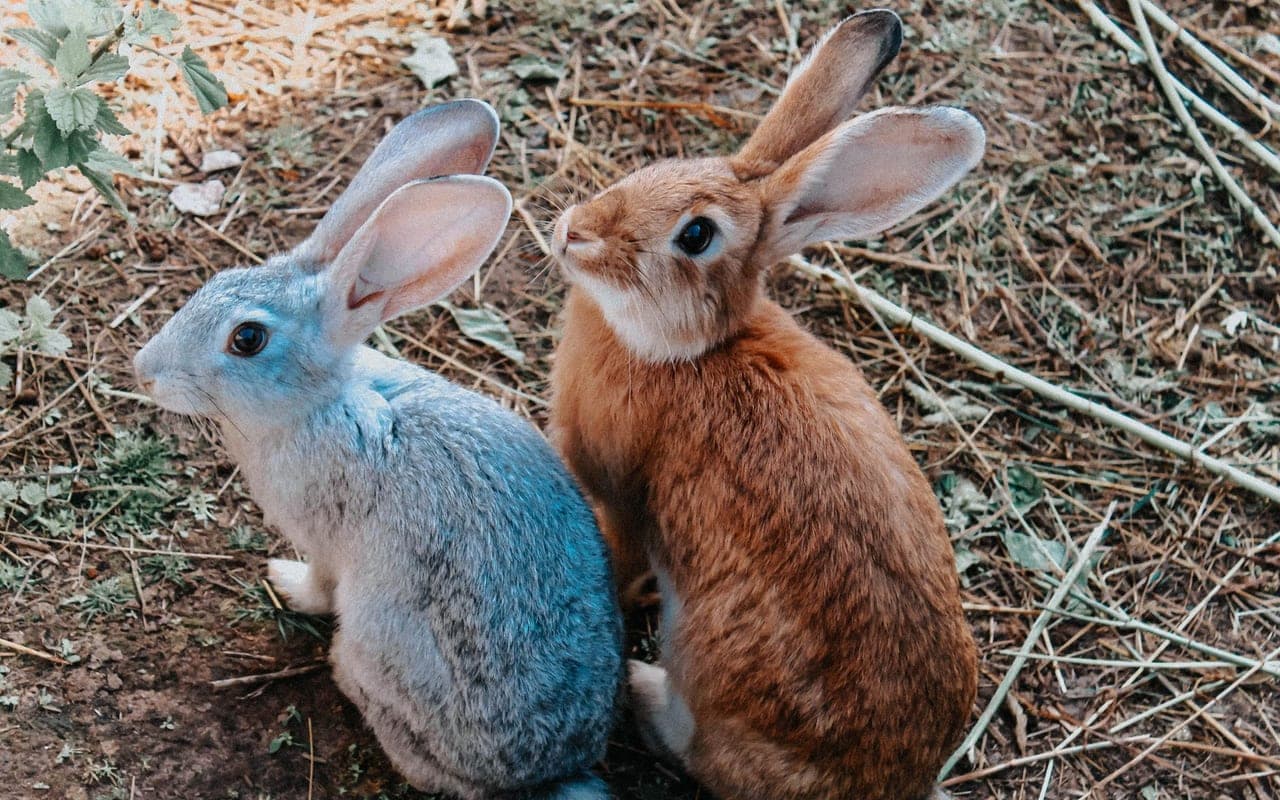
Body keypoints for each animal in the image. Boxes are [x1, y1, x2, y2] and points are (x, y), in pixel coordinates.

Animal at [133, 99, 623, 800]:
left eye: (247, 339)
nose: (144, 371)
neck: (320, 403)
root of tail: (554, 774)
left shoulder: (324, 541)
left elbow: (318, 581)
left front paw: (283, 582)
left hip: (382, 640)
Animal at [546, 11, 982, 800]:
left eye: (696, 235)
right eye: (658, 166)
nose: (575, 232)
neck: (688, 349)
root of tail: (888, 783)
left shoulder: (619, 498)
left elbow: (618, 560)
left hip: (709, 658)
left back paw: (642, 687)